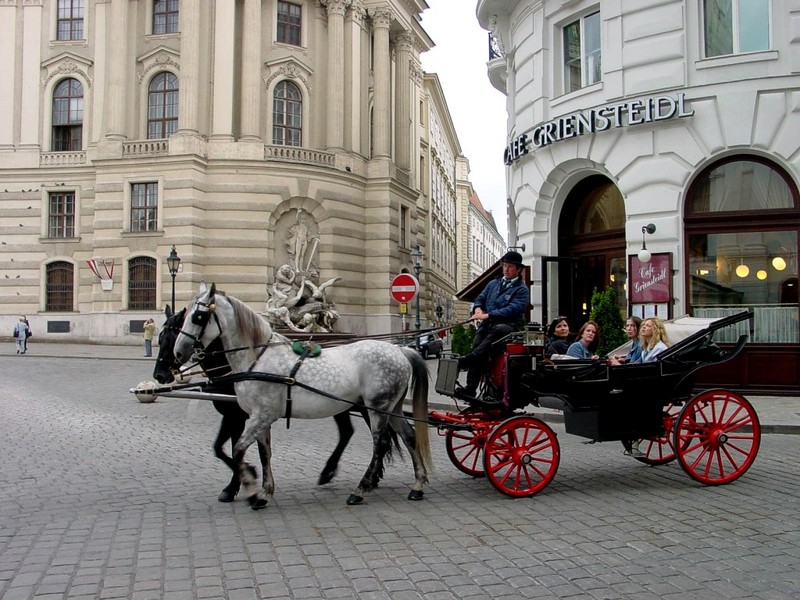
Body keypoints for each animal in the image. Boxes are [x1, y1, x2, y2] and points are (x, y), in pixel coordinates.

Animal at [153, 308, 372, 500]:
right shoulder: (235, 415)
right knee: (347, 432)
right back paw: (331, 472)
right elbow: (222, 448)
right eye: (160, 338)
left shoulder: (237, 417)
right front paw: (246, 478)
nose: (159, 375)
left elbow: (228, 449)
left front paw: (240, 480)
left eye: (171, 338)